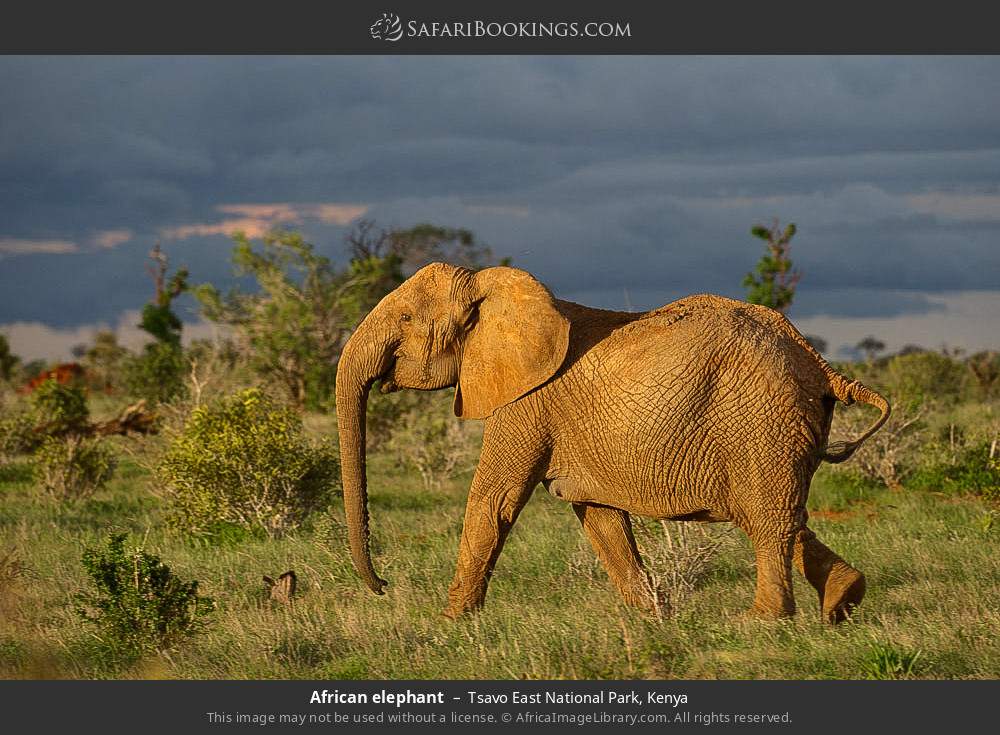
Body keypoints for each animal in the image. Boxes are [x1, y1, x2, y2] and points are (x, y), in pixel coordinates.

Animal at [335, 263, 890, 623]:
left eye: (407, 320)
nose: (383, 586)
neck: (496, 289)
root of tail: (818, 361)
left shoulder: (525, 402)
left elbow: (494, 500)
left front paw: (451, 625)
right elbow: (598, 515)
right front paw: (654, 619)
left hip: (760, 419)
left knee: (767, 517)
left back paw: (763, 622)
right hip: (780, 425)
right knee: (779, 515)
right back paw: (844, 600)